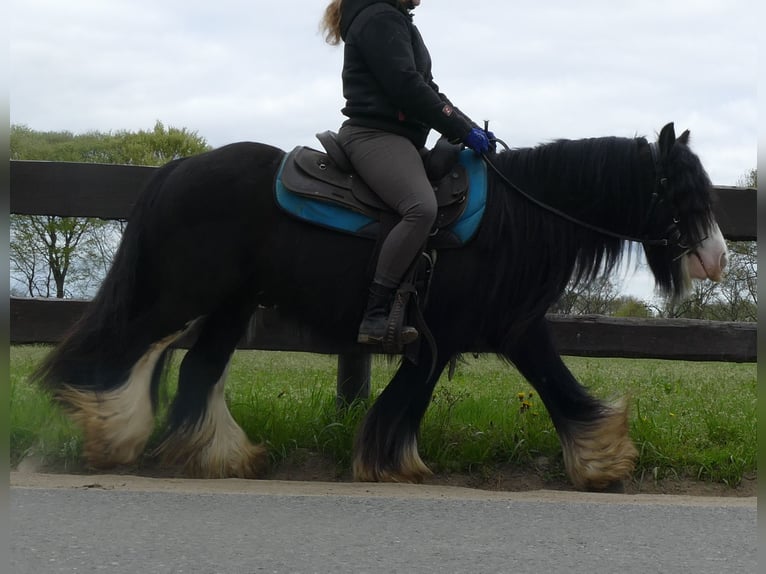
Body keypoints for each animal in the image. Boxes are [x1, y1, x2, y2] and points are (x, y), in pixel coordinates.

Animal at [34, 121, 732, 490]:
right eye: (680, 189)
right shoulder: (446, 333)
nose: (716, 257)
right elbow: (409, 399)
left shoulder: (514, 327)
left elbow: (557, 386)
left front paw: (602, 459)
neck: (517, 216)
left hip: (229, 305)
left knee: (196, 370)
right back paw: (110, 431)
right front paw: (390, 463)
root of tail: (177, 167)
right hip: (181, 294)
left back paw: (221, 456)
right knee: (126, 348)